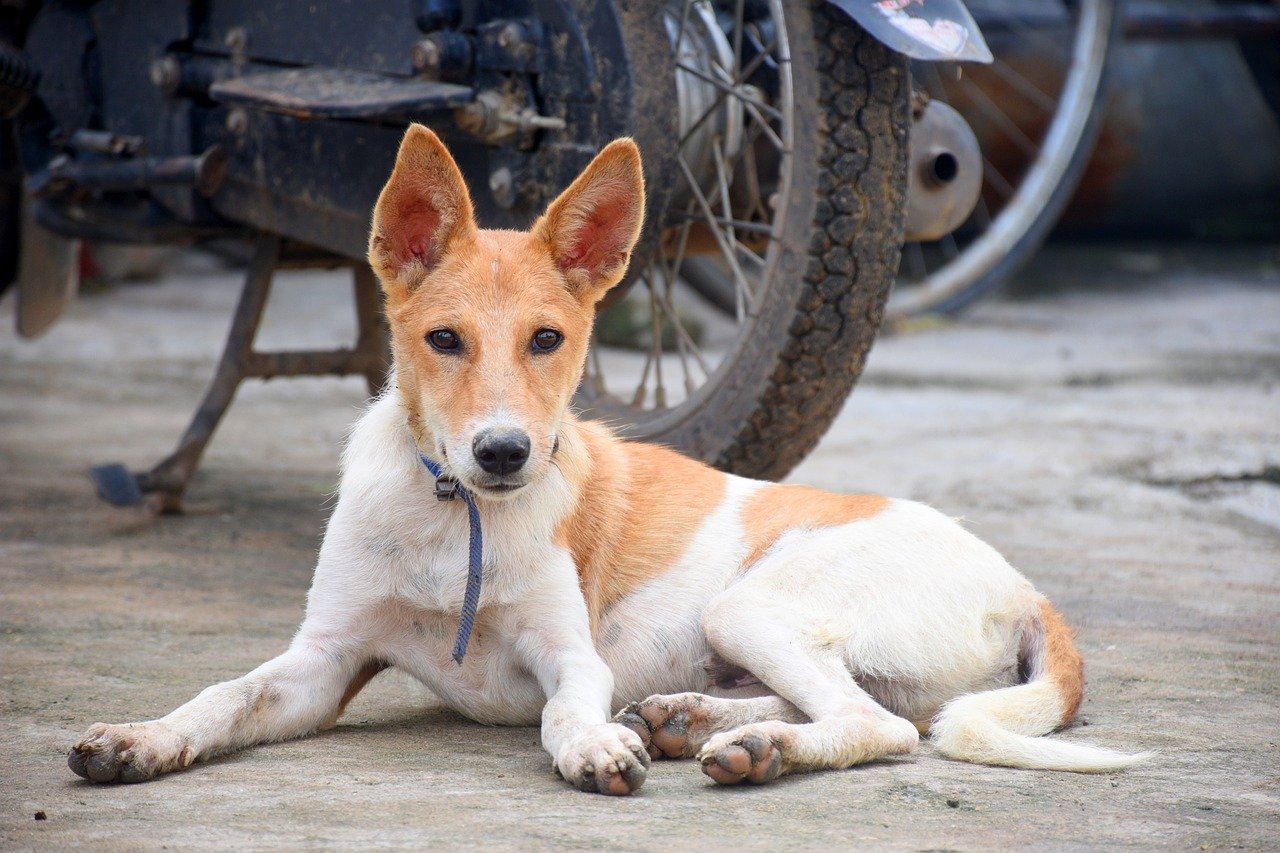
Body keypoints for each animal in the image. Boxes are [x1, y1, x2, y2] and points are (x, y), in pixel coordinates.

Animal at [70, 124, 1152, 788]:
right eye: (444, 340)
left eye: (548, 339)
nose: (506, 452)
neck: (454, 515)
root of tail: (1022, 584)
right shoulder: (322, 661)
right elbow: (225, 693)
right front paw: (139, 738)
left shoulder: (568, 656)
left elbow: (566, 712)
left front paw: (591, 745)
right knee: (866, 708)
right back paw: (695, 719)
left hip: (752, 602)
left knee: (879, 727)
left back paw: (747, 744)